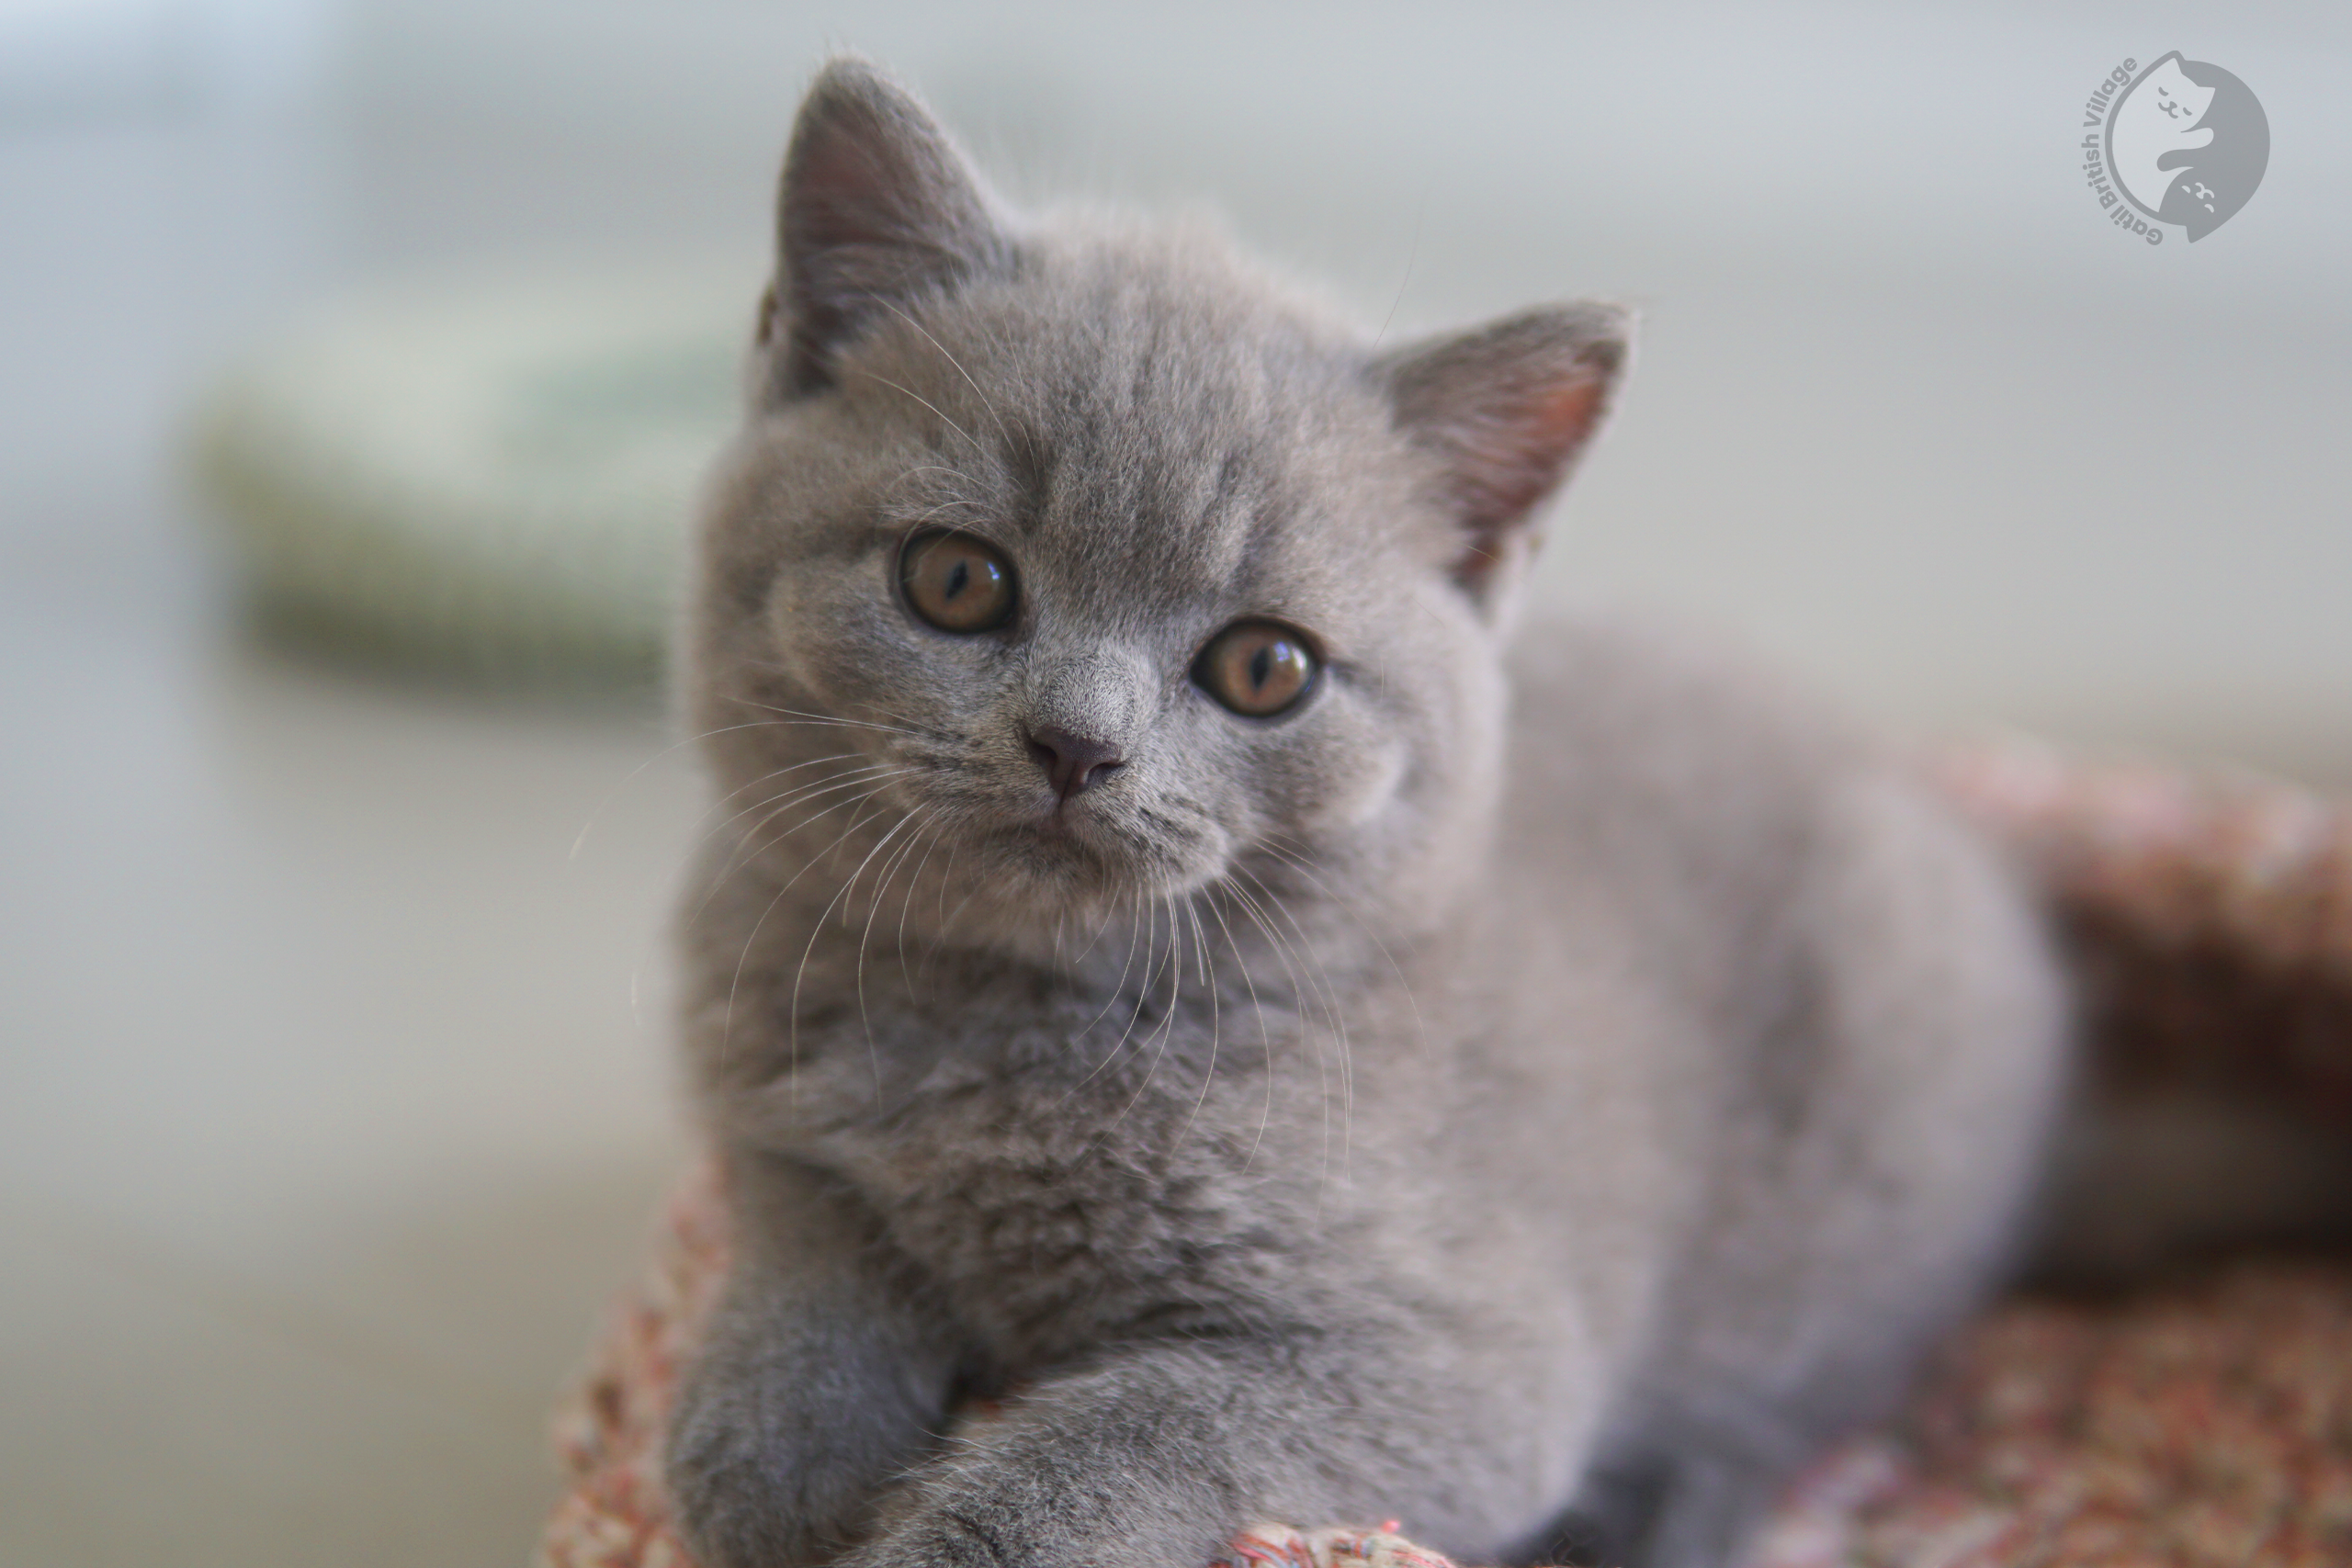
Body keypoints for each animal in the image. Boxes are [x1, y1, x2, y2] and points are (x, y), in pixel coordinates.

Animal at [658, 55, 2060, 1568]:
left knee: (1772, 1414)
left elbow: (1132, 1432)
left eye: (1265, 669)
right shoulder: (770, 1121)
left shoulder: (1453, 1368)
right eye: (956, 580)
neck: (1015, 1026)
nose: (1077, 745)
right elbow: (804, 1247)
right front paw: (776, 1448)